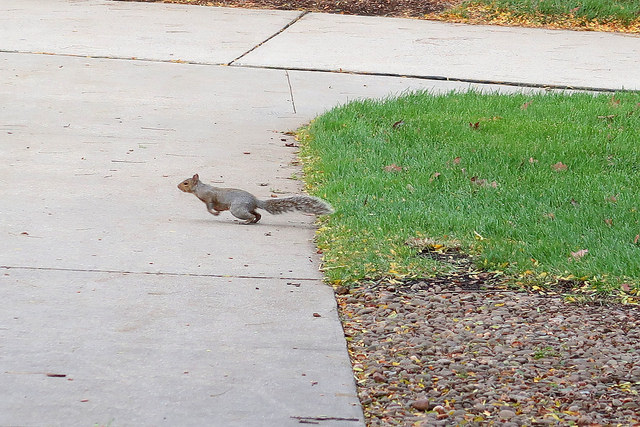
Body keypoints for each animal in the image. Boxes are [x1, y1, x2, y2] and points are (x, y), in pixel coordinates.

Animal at [176, 173, 336, 224]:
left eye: (186, 183)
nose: (178, 186)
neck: (199, 189)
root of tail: (255, 201)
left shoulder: (209, 198)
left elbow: (210, 207)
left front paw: (215, 213)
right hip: (245, 208)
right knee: (257, 214)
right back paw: (254, 221)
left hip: (237, 209)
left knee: (251, 215)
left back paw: (247, 221)